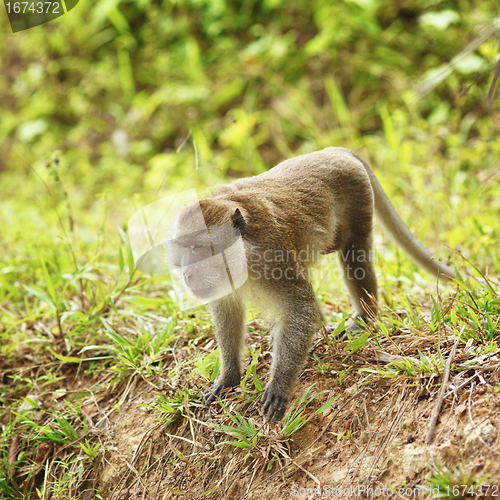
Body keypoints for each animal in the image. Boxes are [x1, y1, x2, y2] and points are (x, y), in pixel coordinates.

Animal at [169, 146, 458, 420]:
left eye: (198, 247)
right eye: (183, 248)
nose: (187, 273)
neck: (243, 251)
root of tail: (332, 151)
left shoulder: (273, 257)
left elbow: (299, 309)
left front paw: (280, 384)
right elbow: (228, 314)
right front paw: (228, 377)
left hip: (358, 194)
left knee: (354, 251)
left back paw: (364, 319)